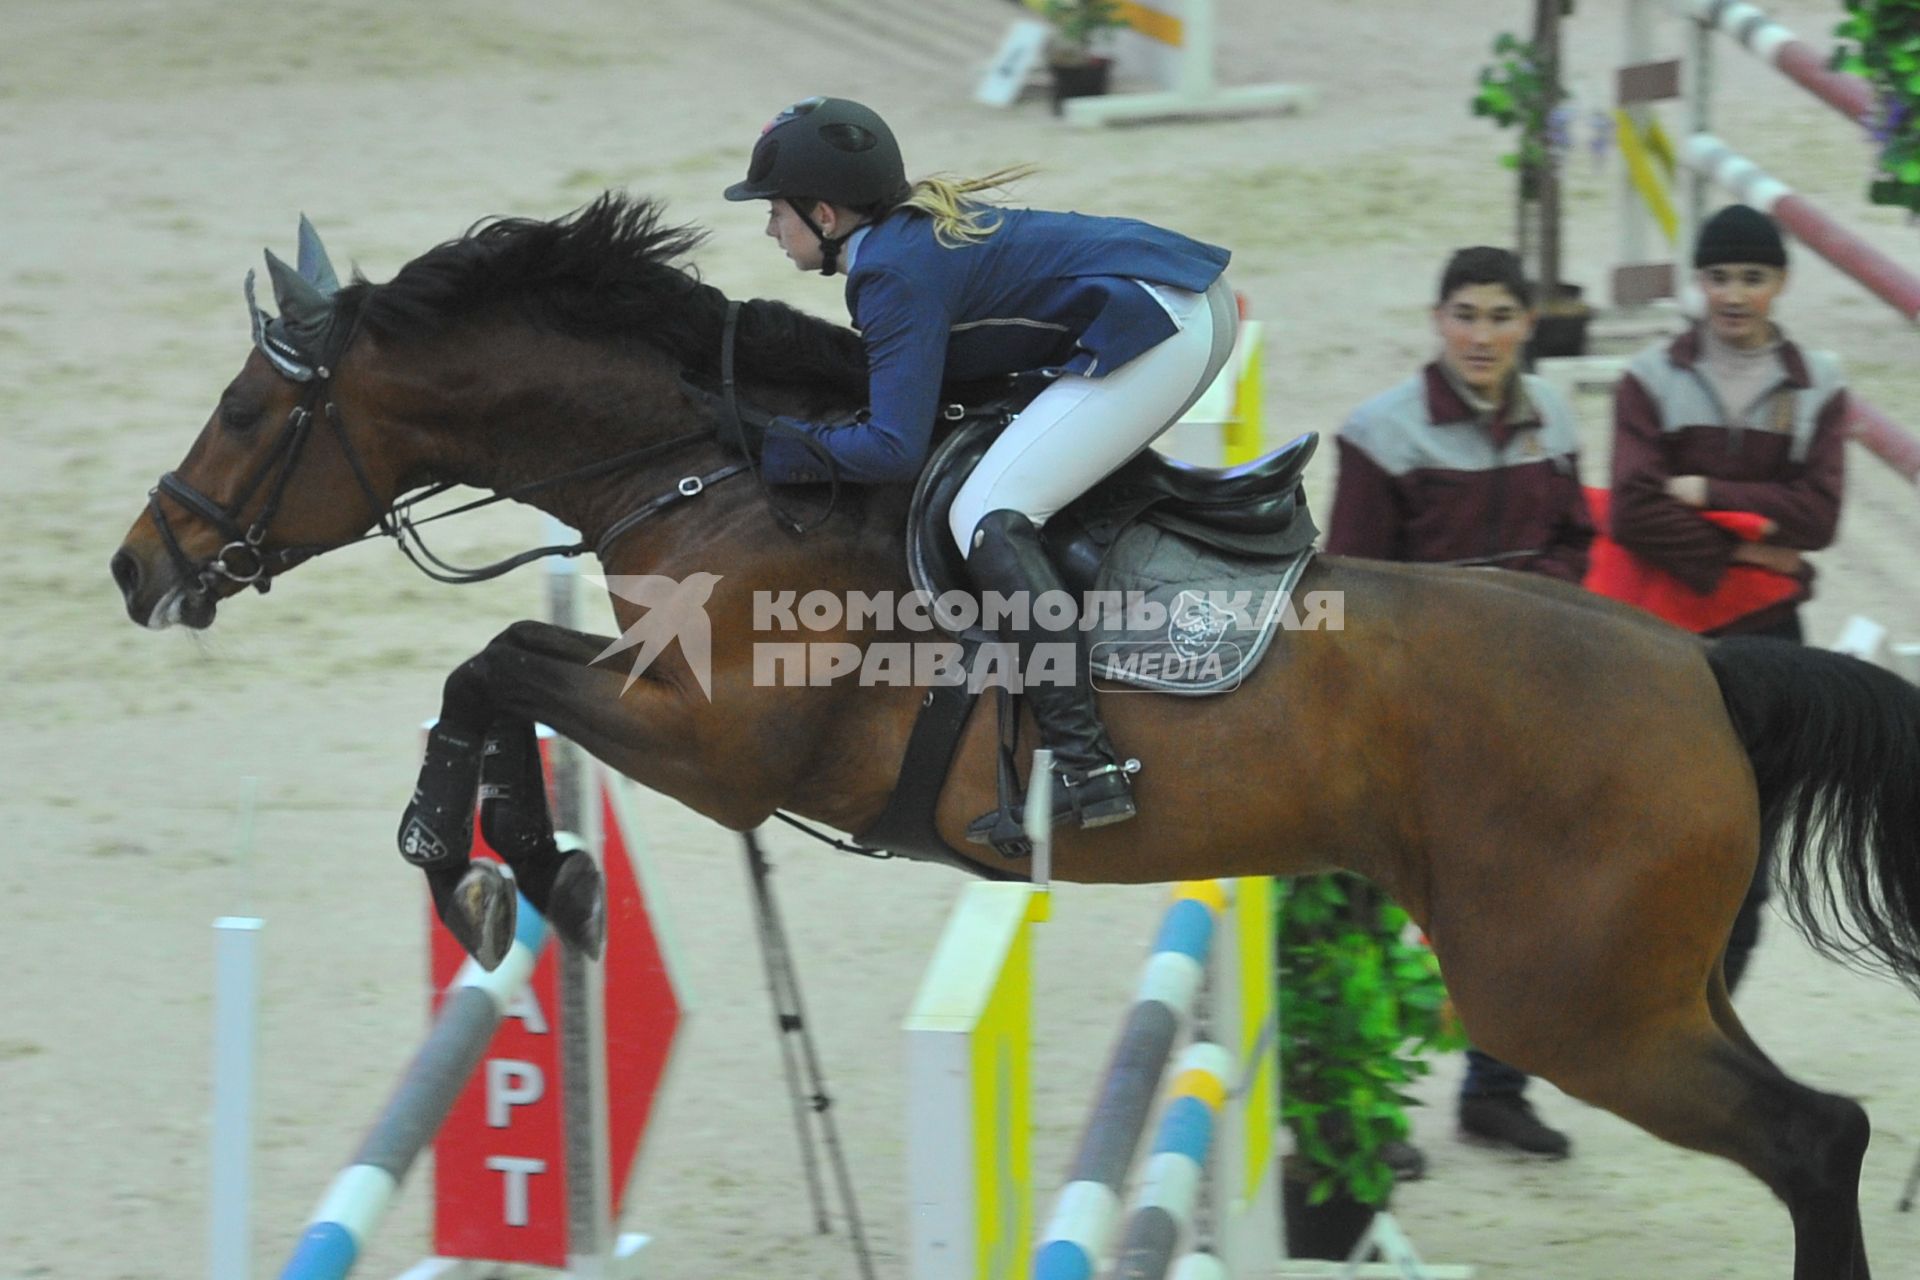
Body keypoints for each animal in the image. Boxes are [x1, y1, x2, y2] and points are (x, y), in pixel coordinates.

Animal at [112, 192, 1912, 1280]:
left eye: (253, 411)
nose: (140, 567)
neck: (714, 469)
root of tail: (1707, 675)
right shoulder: (669, 714)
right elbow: (493, 669)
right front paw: (520, 872)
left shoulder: (709, 747)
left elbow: (494, 666)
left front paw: (496, 867)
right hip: (1639, 986)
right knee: (1811, 1130)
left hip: (1569, 999)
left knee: (1809, 1134)